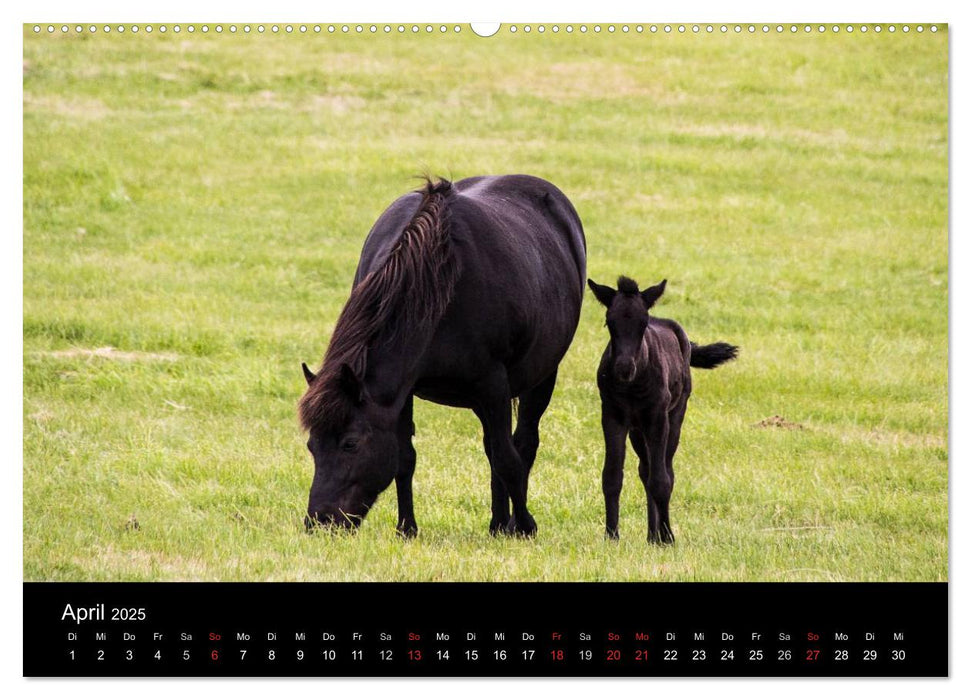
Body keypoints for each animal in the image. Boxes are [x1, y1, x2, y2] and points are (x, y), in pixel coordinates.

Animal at [298, 175, 584, 536]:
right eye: (312, 445)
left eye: (350, 443)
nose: (319, 521)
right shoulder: (401, 392)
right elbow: (405, 459)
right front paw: (407, 528)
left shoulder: (493, 384)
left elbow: (508, 459)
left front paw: (524, 526)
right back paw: (497, 522)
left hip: (540, 378)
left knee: (522, 444)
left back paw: (509, 523)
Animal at [588, 276, 740, 544]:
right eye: (609, 323)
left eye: (643, 324)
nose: (624, 368)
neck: (632, 385)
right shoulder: (612, 416)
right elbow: (612, 476)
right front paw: (611, 536)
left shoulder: (657, 418)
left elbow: (661, 480)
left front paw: (668, 537)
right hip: (637, 430)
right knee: (645, 469)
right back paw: (651, 534)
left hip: (675, 416)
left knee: (664, 470)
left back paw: (657, 536)